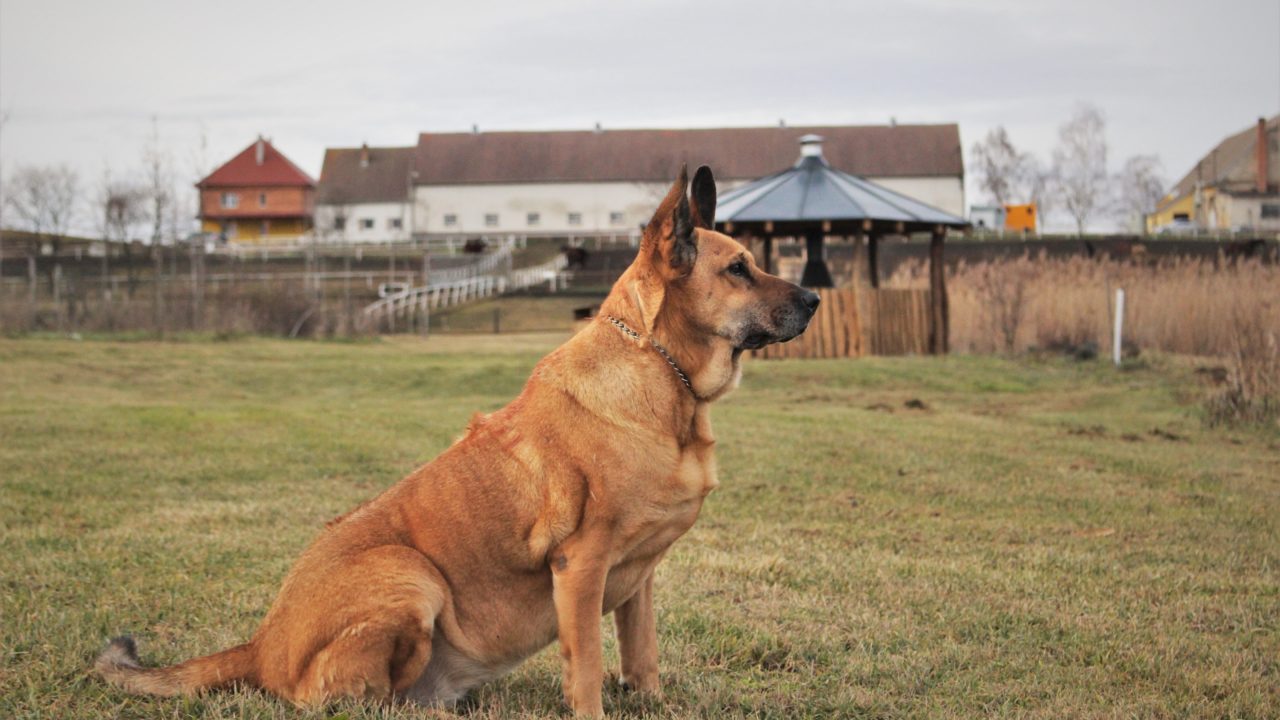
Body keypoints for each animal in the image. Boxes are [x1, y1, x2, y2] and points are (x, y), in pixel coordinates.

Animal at [97, 163, 819, 712]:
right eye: (737, 270)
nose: (814, 299)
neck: (661, 374)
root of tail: (260, 647)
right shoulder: (581, 568)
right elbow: (587, 669)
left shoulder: (638, 580)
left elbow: (642, 661)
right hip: (413, 578)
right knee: (348, 701)